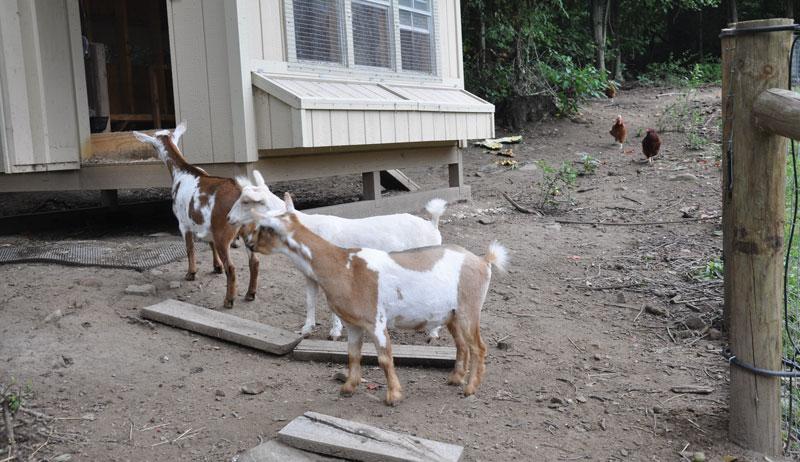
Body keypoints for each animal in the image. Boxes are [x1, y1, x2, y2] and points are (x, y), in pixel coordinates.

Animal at [132, 122, 259, 309]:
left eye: (153, 145)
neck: (182, 171)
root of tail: (239, 192)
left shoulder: (183, 223)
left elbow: (189, 247)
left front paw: (191, 273)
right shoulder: (206, 224)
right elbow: (210, 244)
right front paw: (216, 267)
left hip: (223, 233)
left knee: (232, 267)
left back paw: (229, 299)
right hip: (249, 230)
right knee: (254, 261)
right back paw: (251, 293)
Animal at [229, 170, 447, 340]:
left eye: (246, 201)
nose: (229, 218)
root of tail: (432, 224)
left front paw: (334, 332)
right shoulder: (310, 275)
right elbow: (310, 301)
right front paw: (306, 330)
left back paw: (433, 333)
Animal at [248, 193, 508, 406]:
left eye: (266, 227)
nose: (249, 243)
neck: (343, 266)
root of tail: (483, 260)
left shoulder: (376, 320)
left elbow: (384, 358)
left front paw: (393, 395)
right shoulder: (353, 323)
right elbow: (353, 354)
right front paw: (348, 387)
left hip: (469, 309)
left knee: (478, 347)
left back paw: (470, 389)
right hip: (451, 314)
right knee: (462, 345)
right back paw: (454, 379)